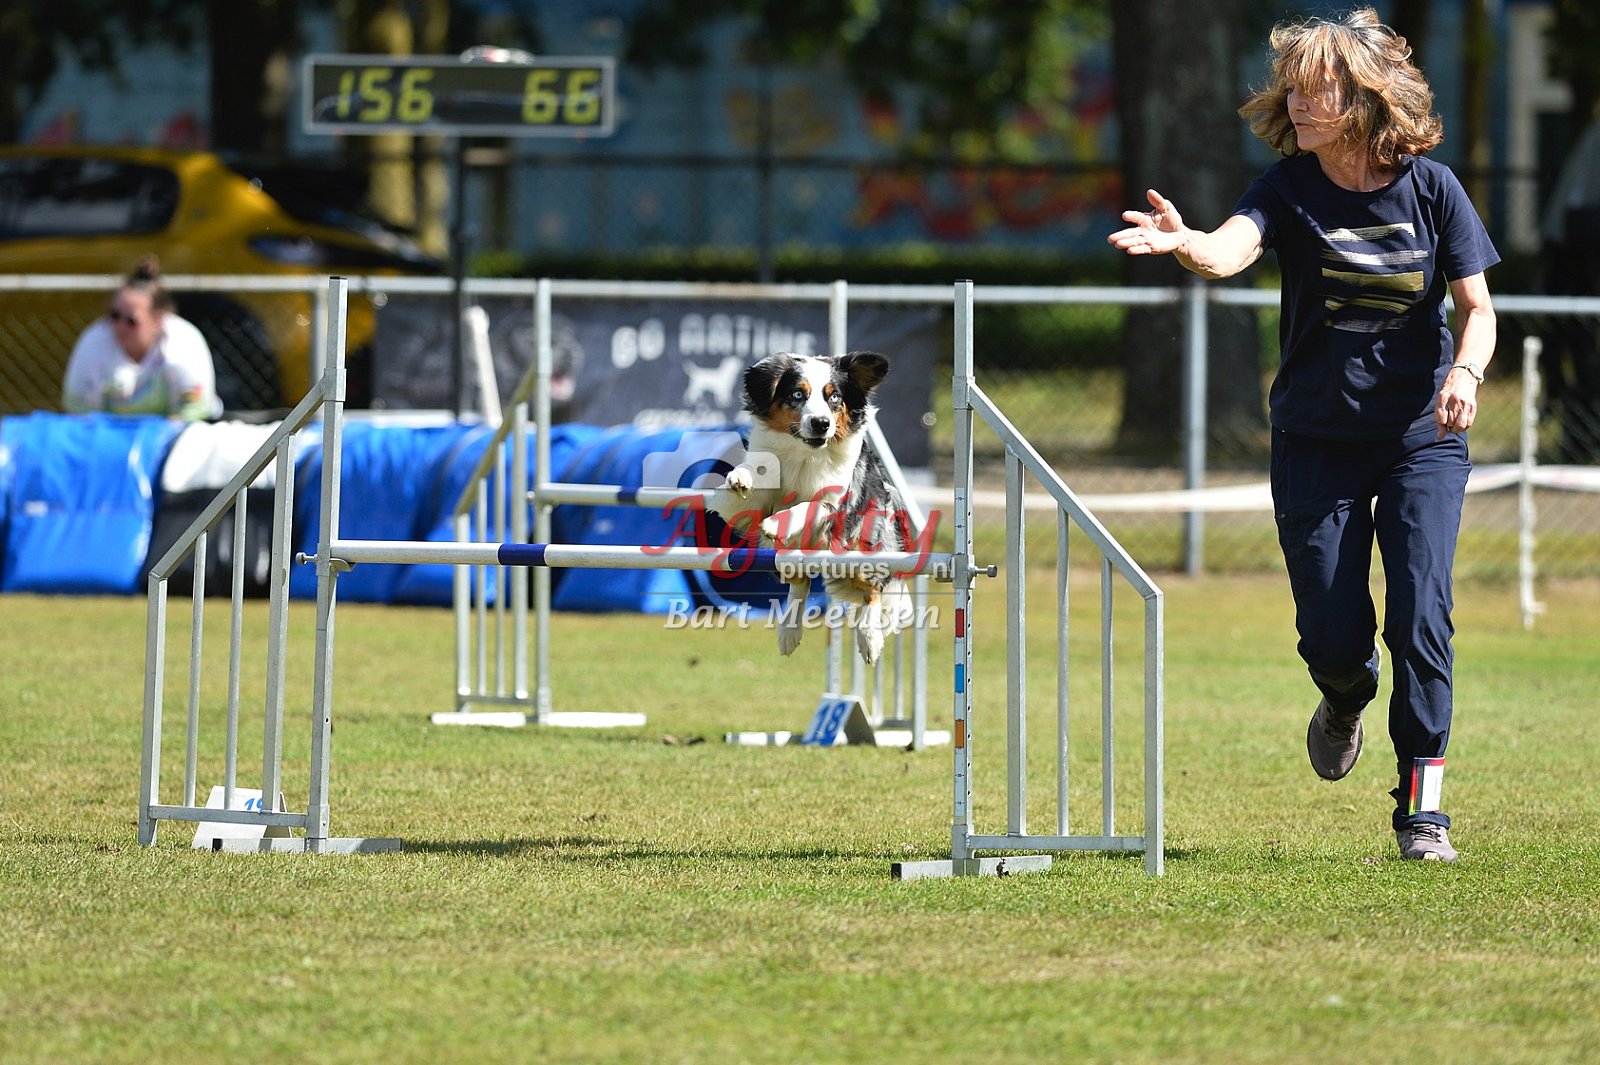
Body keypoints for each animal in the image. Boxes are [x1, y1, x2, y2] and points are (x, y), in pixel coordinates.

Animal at [708, 350, 919, 664]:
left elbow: (809, 505)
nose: (821, 423)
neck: (804, 453)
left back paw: (869, 639)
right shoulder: (758, 498)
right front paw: (739, 478)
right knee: (799, 583)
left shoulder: (835, 502)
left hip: (865, 542)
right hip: (784, 556)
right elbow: (740, 490)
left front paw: (776, 522)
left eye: (835, 397)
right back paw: (789, 631)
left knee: (873, 588)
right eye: (798, 394)